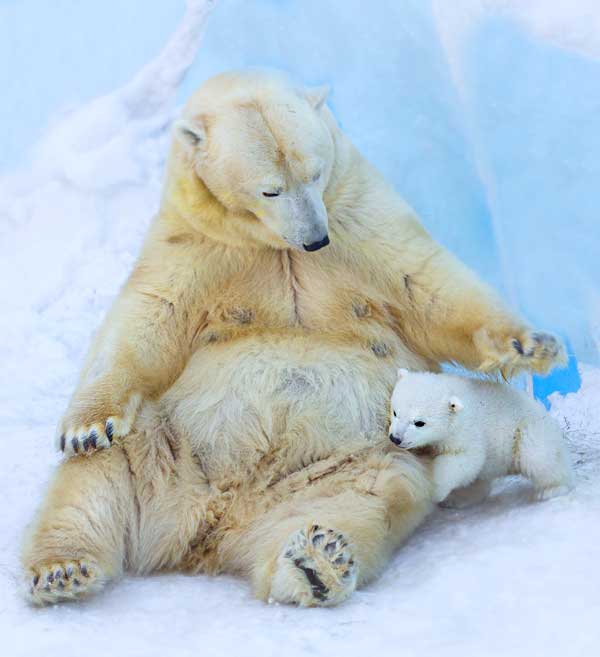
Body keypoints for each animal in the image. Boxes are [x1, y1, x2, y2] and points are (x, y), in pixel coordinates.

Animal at [390, 372, 572, 504]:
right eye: (395, 412)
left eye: (419, 423)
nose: (395, 438)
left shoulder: (467, 432)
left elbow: (467, 460)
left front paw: (435, 491)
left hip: (528, 431)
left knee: (537, 456)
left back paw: (551, 489)